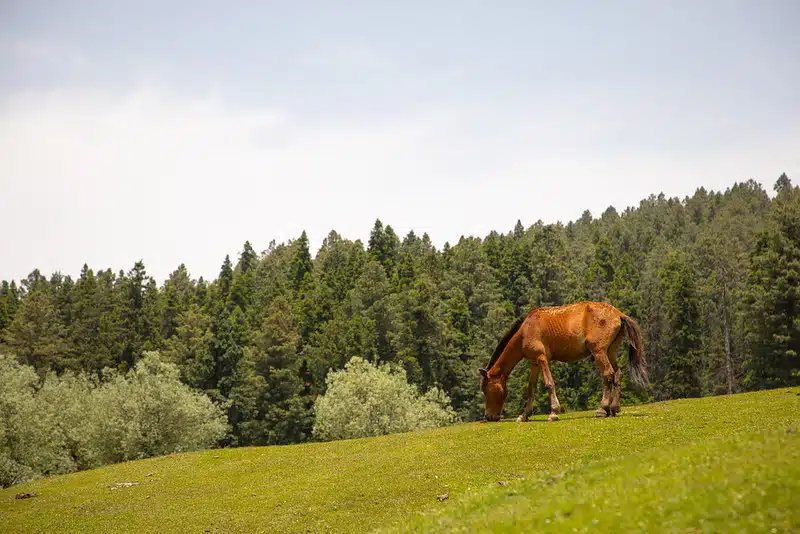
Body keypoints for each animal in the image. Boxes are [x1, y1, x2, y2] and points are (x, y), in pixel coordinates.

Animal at [478, 304, 648, 426]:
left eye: (485, 390)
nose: (489, 416)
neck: (526, 330)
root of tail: (618, 314)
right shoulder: (534, 362)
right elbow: (531, 388)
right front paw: (525, 414)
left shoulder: (541, 358)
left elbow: (549, 383)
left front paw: (554, 412)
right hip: (610, 352)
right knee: (618, 374)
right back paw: (614, 408)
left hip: (598, 351)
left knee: (608, 375)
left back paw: (602, 409)